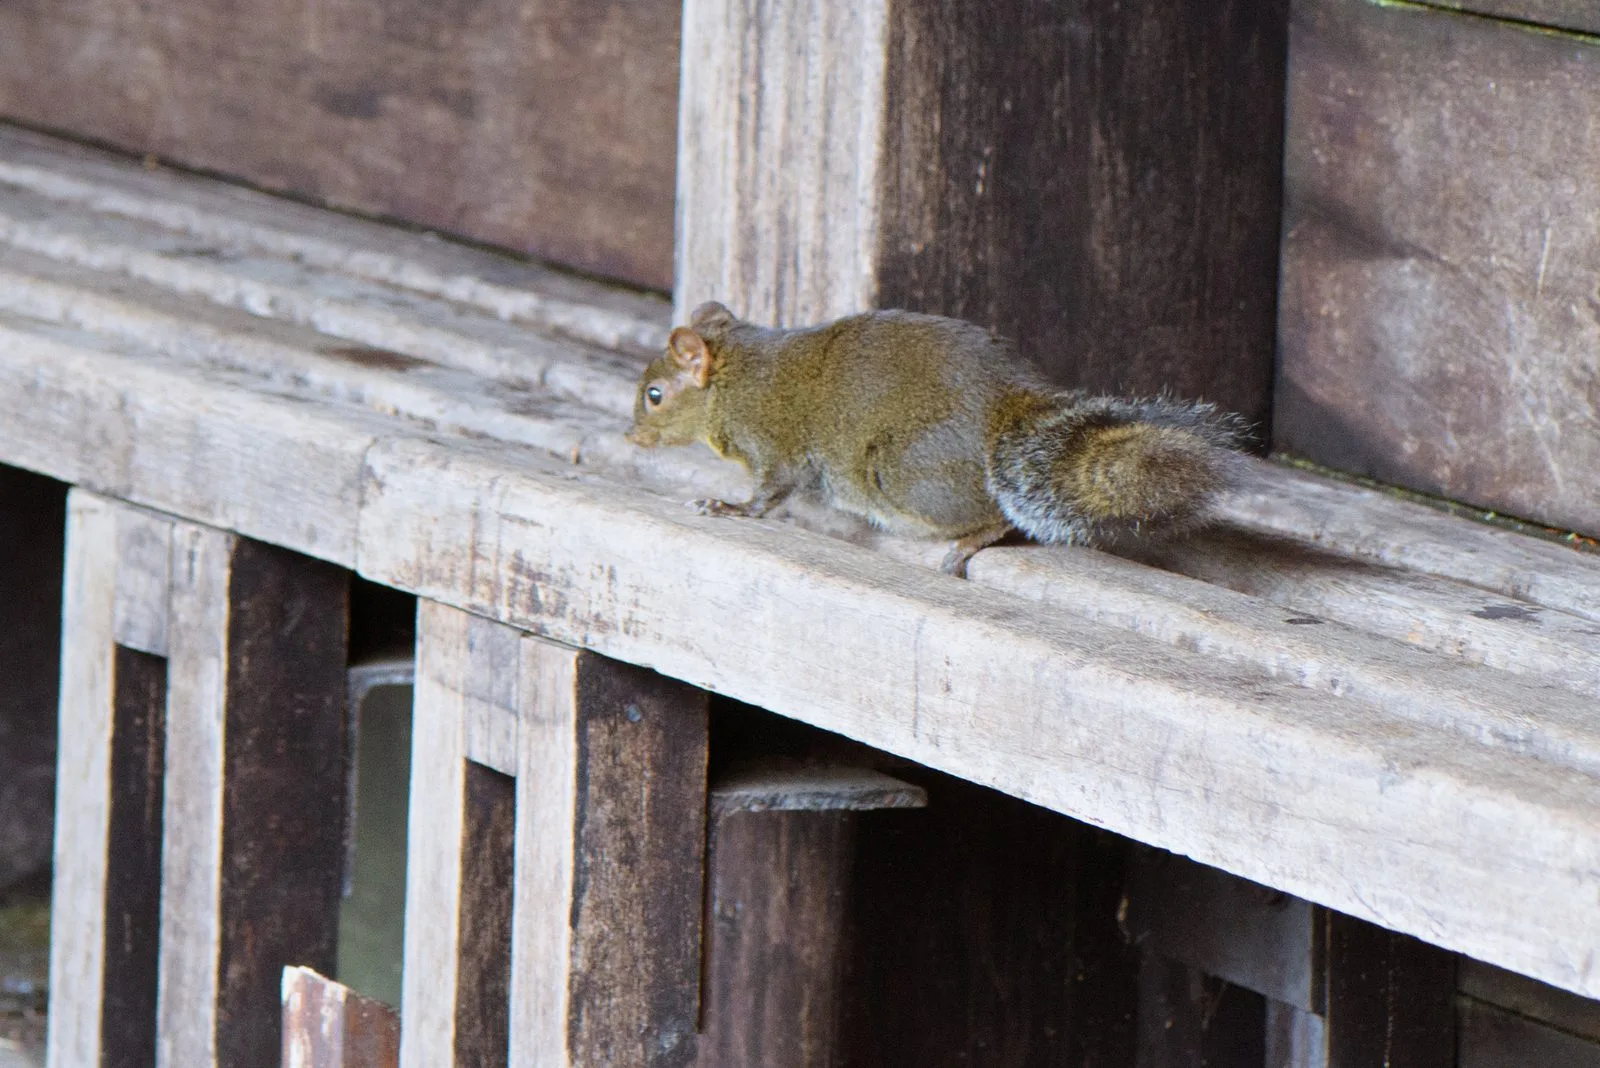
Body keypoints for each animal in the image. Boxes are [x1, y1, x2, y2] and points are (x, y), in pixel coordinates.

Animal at [627, 301, 1248, 576]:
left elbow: (769, 493)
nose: (631, 436)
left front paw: (728, 506)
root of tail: (1007, 405)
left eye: (654, 394)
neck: (734, 377)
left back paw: (971, 541)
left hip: (905, 473)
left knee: (994, 514)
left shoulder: (770, 441)